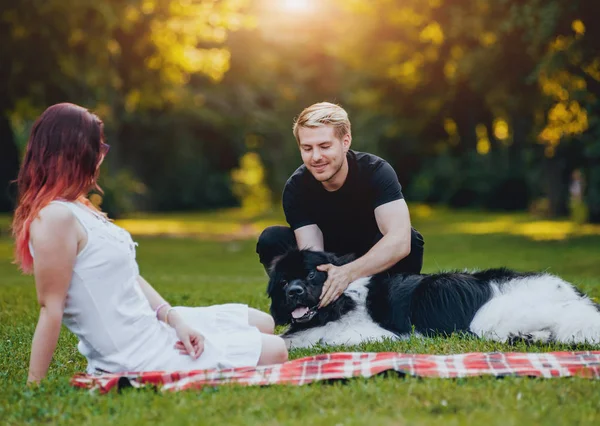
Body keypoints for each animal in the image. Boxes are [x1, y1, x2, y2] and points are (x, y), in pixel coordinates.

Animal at [268, 250, 600, 350]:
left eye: (312, 275)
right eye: (283, 282)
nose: (294, 292)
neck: (342, 301)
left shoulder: (374, 333)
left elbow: (313, 338)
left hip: (490, 318)